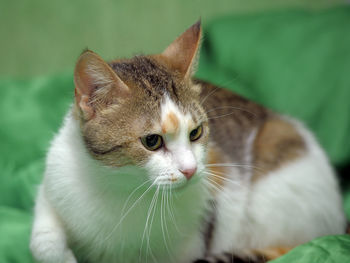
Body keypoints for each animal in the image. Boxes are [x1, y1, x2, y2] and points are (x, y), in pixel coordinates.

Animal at [30, 21, 348, 263]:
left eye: (196, 133)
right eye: (152, 141)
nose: (191, 170)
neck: (121, 188)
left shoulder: (196, 236)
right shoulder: (55, 181)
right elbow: (41, 241)